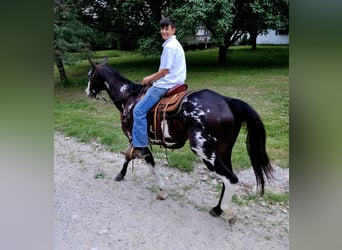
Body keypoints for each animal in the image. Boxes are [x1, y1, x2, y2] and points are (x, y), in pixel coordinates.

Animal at [85, 57, 272, 223]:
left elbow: (146, 164)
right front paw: (121, 174)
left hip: (205, 153)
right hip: (224, 152)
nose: (87, 92)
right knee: (227, 179)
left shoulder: (138, 141)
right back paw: (217, 209)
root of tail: (226, 101)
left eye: (90, 75)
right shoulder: (136, 141)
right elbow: (128, 157)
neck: (128, 98)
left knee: (231, 179)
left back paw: (227, 211)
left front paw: (161, 190)